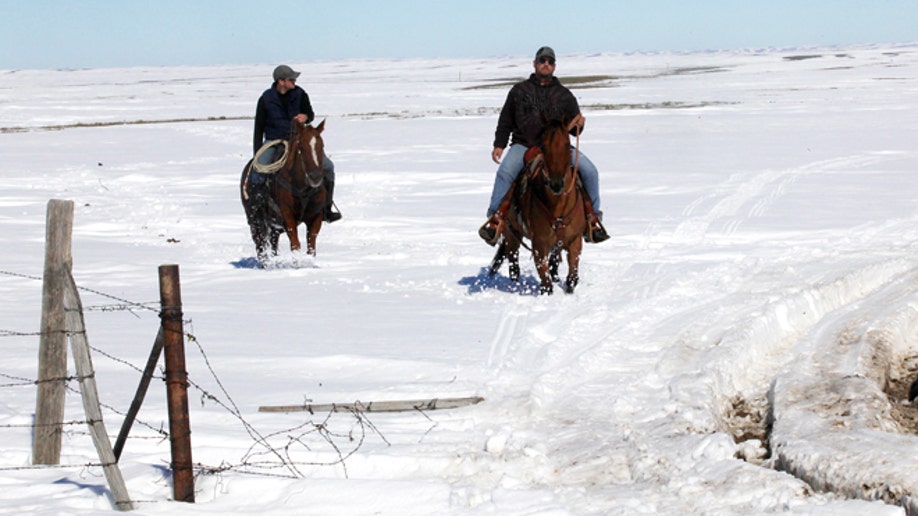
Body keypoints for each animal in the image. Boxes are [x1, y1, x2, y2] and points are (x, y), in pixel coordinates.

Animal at [243, 119, 328, 264]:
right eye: (301, 148)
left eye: (321, 147)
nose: (315, 177)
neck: (302, 188)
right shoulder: (288, 215)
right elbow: (295, 244)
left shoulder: (316, 216)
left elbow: (311, 247)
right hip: (255, 221)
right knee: (260, 246)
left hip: (274, 226)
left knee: (273, 244)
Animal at [488, 118, 588, 294]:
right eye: (544, 147)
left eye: (567, 145)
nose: (556, 184)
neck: (558, 207)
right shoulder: (539, 245)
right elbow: (546, 282)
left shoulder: (575, 240)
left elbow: (572, 277)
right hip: (511, 235)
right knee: (513, 266)